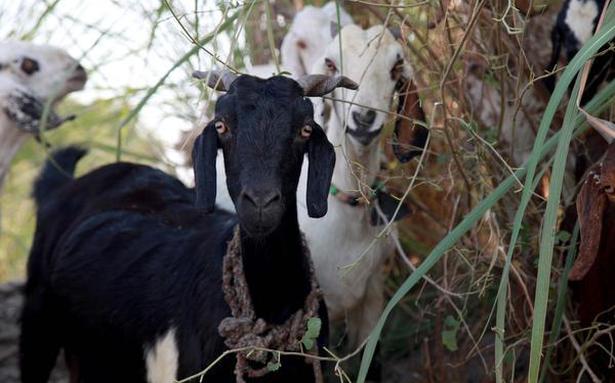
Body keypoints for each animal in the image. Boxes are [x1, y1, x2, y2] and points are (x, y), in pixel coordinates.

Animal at [20, 73, 356, 383]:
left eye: (305, 129)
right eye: (221, 126)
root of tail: (66, 185)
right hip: (38, 321)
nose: (260, 202)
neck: (271, 302)